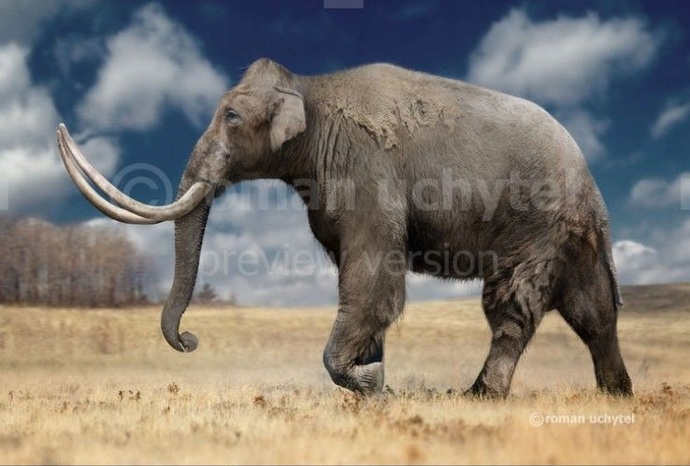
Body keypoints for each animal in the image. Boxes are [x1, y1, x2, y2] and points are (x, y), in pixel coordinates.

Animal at [57, 58, 633, 398]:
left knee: (512, 308)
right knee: (594, 314)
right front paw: (373, 387)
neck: (308, 87)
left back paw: (479, 398)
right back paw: (617, 395)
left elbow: (372, 279)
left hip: (539, 226)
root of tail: (590, 179)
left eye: (233, 117)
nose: (190, 340)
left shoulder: (369, 173)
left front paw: (373, 384)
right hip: (568, 237)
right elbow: (359, 284)